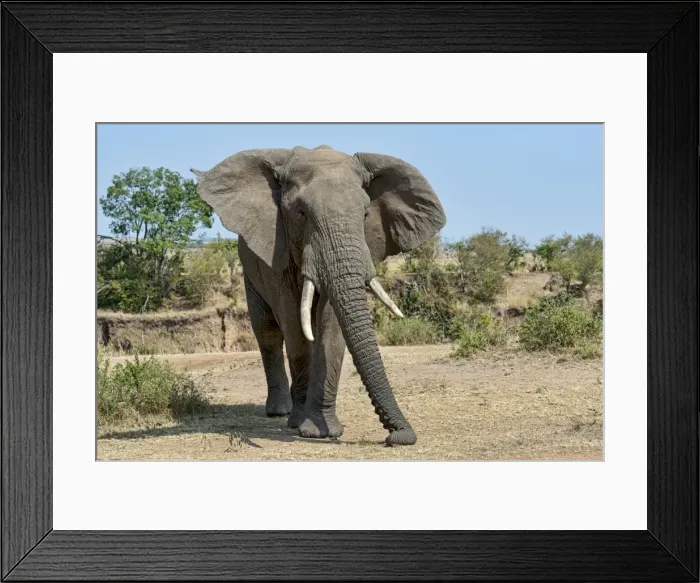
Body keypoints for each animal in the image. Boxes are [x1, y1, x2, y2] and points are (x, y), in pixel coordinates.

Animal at [191, 145, 446, 445]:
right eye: (301, 213)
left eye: (365, 215)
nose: (399, 435)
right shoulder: (277, 248)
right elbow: (294, 326)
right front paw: (302, 426)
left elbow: (331, 325)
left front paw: (322, 431)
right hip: (249, 270)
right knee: (267, 332)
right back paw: (280, 411)